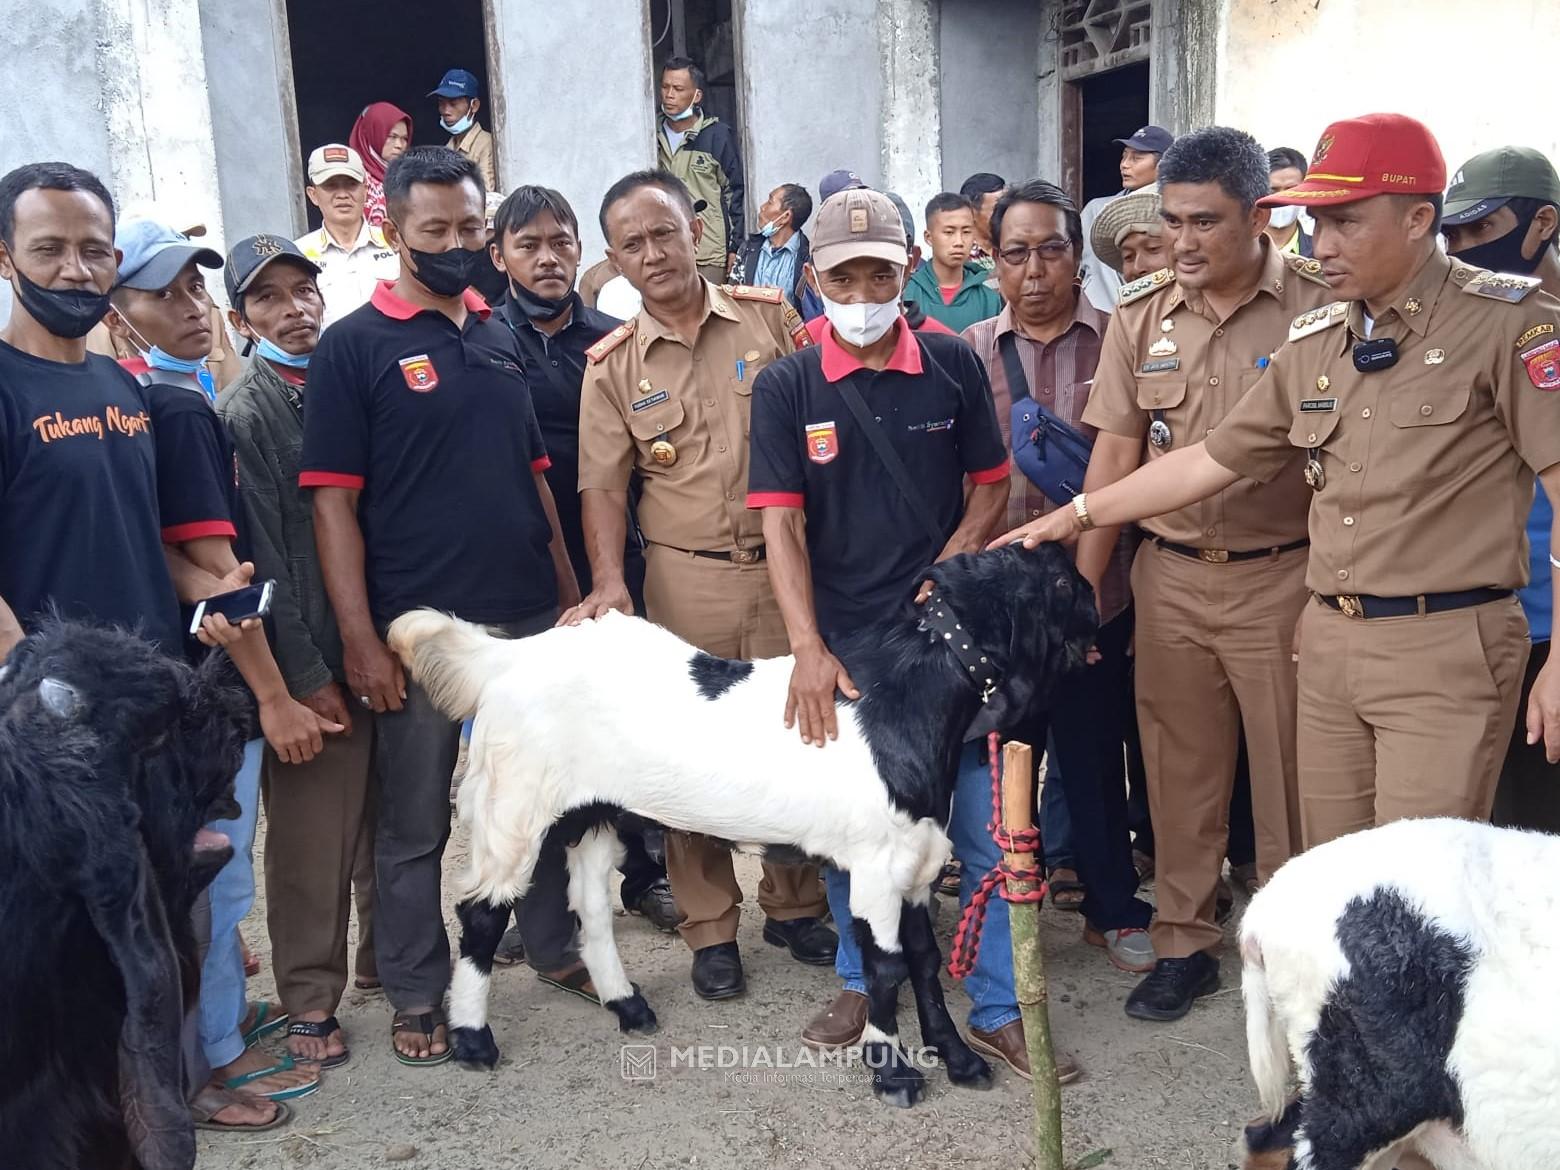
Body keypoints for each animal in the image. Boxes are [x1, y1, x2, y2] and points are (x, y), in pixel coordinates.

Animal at [388, 542, 1098, 1110]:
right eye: (1063, 585)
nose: (1094, 596)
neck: (901, 699)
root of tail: (504, 660)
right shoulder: (875, 866)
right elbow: (887, 966)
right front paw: (892, 1075)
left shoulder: (918, 862)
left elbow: (924, 962)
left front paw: (960, 1060)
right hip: (513, 802)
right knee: (481, 909)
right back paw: (473, 1041)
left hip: (594, 810)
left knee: (588, 902)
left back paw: (627, 1004)